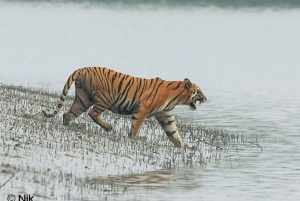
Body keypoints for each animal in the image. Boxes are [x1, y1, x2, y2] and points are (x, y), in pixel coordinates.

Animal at [42, 67, 206, 148]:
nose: (205, 98)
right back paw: (108, 127)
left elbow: (174, 134)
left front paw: (185, 147)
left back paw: (69, 124)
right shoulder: (143, 109)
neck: (176, 99)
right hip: (105, 98)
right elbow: (136, 126)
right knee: (92, 113)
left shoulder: (166, 116)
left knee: (69, 113)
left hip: (83, 98)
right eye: (198, 91)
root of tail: (82, 69)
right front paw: (135, 138)